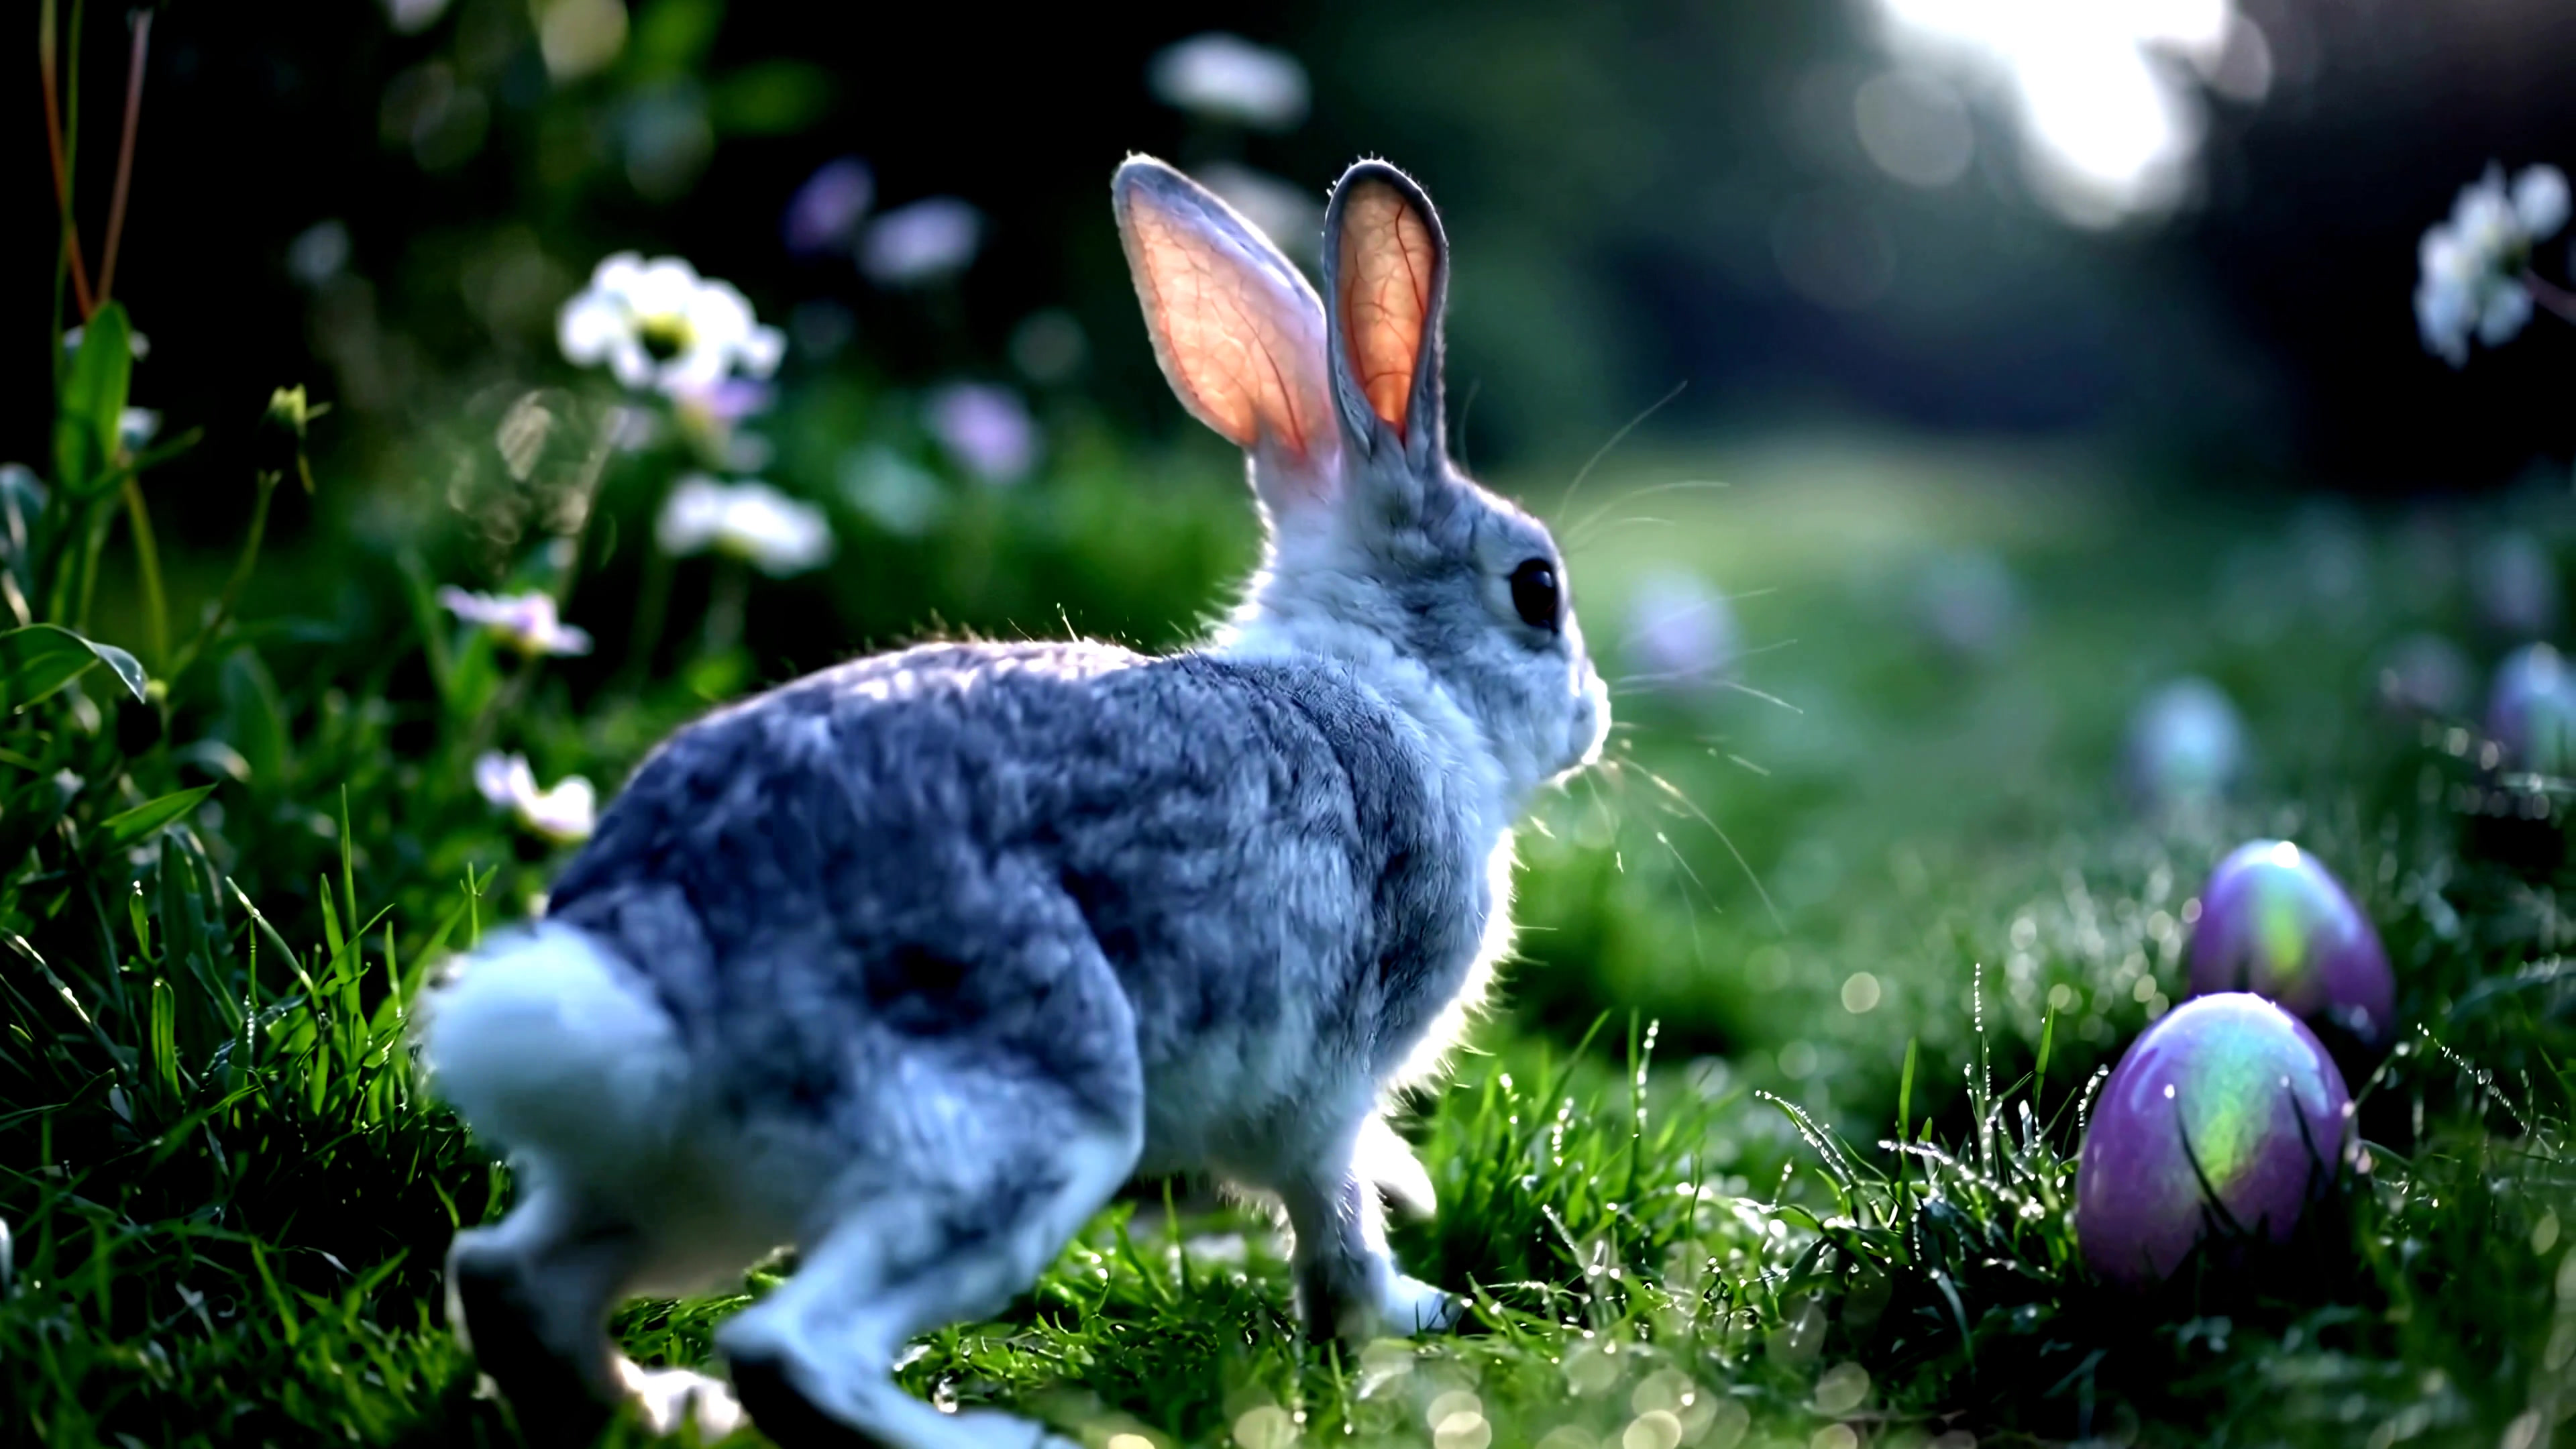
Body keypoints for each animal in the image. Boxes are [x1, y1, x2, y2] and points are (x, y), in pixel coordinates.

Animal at [416, 153, 1610, 1449]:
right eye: (1536, 590)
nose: (1594, 716)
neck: (1387, 673)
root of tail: (661, 974)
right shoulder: (1325, 1096)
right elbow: (1336, 1217)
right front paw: (1409, 1313)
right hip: (1032, 1127)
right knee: (788, 1349)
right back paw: (986, 1437)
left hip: (691, 1201)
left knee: (513, 1279)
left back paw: (654, 1407)